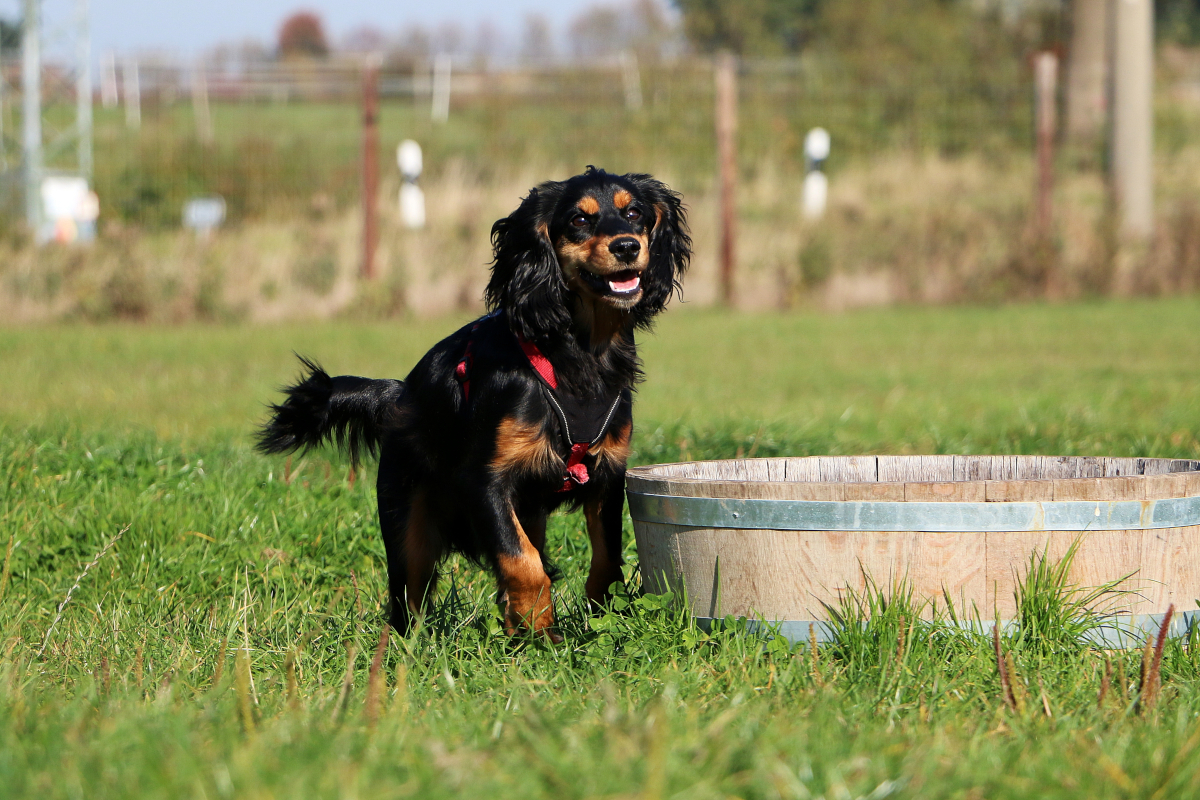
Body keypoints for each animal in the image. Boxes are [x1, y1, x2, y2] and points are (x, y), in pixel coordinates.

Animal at [258, 165, 691, 642]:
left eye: (634, 213)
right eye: (579, 220)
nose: (627, 245)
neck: (577, 352)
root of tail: (399, 394)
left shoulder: (608, 473)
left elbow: (606, 559)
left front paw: (593, 618)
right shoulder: (485, 482)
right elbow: (523, 563)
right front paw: (540, 634)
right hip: (409, 525)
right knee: (407, 597)